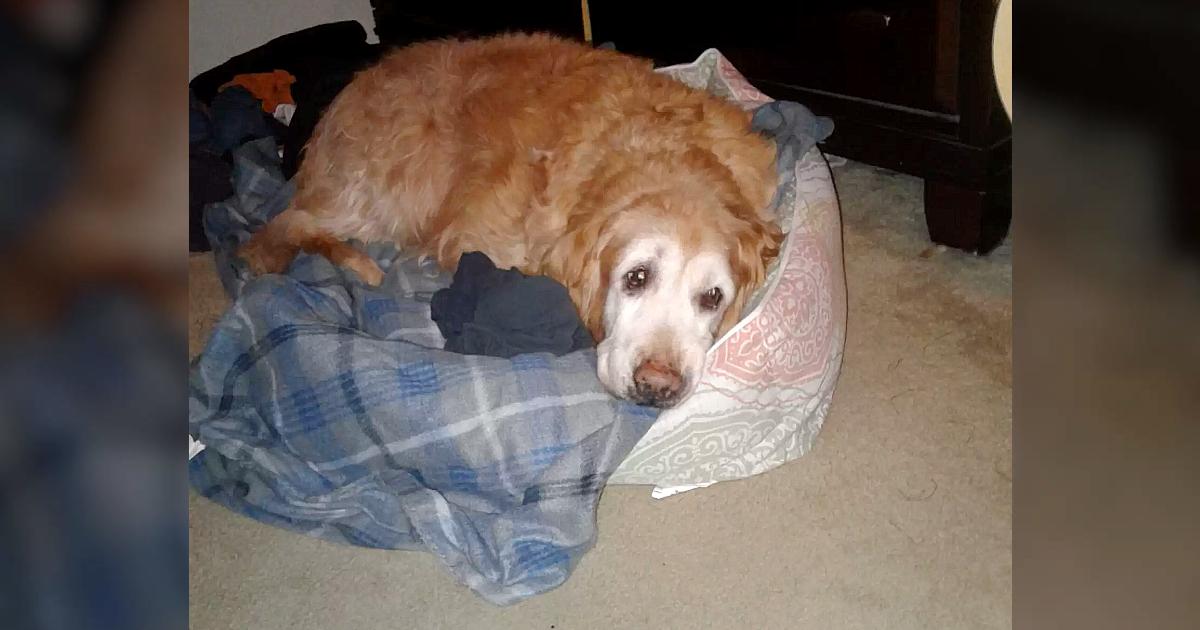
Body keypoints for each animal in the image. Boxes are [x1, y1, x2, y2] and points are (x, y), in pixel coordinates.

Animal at [244, 33, 787, 408]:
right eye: (635, 277)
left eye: (712, 297)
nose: (658, 386)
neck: (662, 155)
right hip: (392, 182)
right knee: (272, 234)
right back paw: (358, 264)